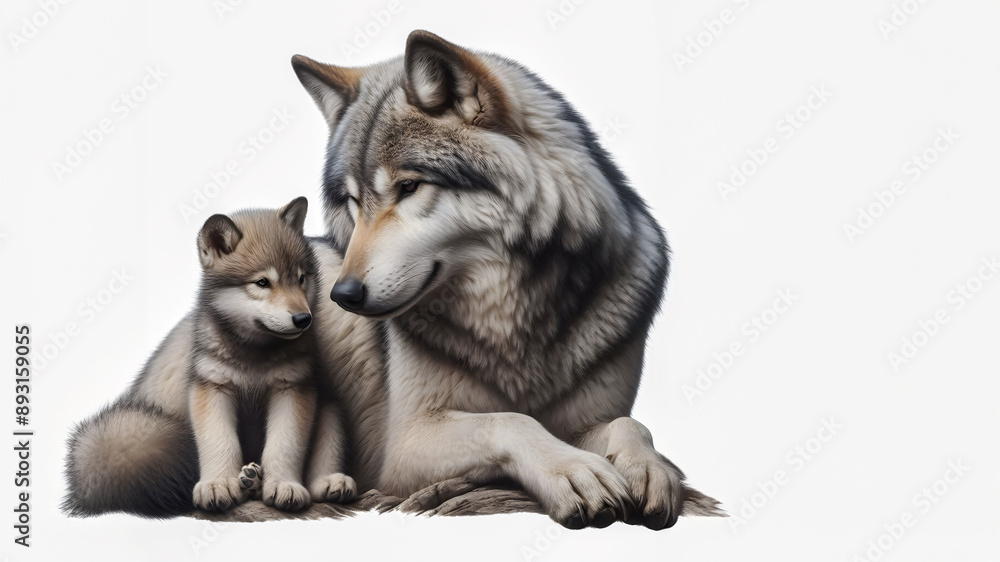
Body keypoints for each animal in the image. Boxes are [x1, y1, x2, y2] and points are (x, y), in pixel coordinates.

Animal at [63, 198, 357, 516]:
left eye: (301, 279)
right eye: (262, 283)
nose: (304, 319)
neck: (255, 355)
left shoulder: (293, 388)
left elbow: (285, 444)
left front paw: (284, 485)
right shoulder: (212, 387)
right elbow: (220, 442)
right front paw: (218, 484)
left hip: (330, 405)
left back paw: (323, 481)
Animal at [289, 30, 720, 529]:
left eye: (409, 187)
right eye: (354, 202)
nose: (343, 294)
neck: (512, 323)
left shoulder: (590, 418)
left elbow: (631, 424)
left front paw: (649, 469)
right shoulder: (401, 449)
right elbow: (509, 420)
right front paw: (572, 471)